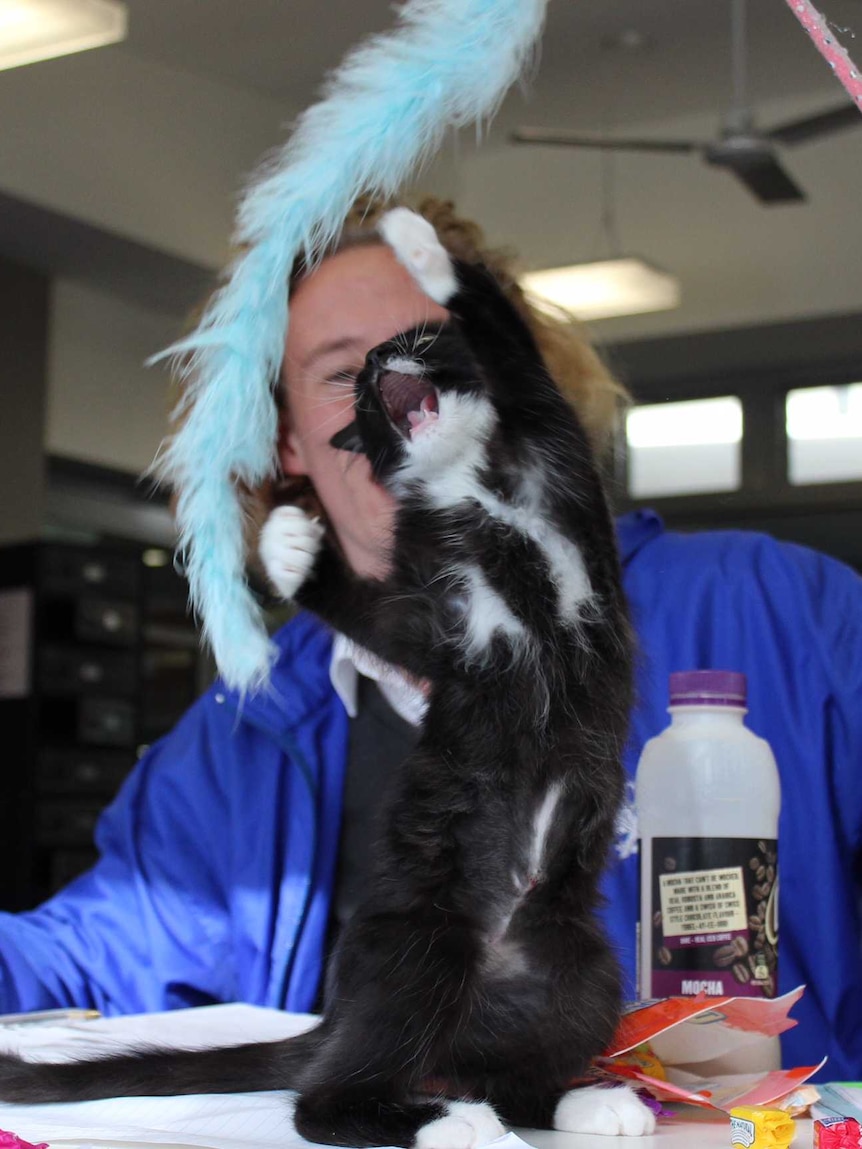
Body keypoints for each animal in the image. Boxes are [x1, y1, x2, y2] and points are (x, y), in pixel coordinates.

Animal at [0, 211, 652, 1144]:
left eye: (412, 342)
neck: (473, 485)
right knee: (323, 1101)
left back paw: (581, 1098)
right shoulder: (437, 615)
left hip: (582, 965)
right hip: (420, 944)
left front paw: (422, 250)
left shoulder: (550, 450)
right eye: (356, 385)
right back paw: (446, 1120)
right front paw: (287, 550)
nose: (379, 362)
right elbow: (373, 612)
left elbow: (506, 340)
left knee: (515, 1062)